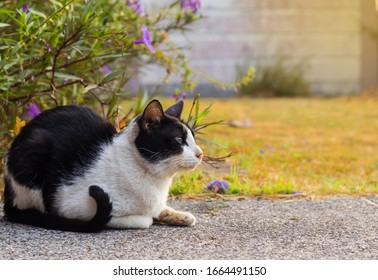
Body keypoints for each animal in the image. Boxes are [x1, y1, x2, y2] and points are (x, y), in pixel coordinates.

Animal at [2, 100, 204, 232]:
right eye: (179, 140)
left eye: (193, 138)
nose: (200, 153)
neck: (156, 180)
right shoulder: (71, 205)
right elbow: (143, 220)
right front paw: (150, 218)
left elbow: (160, 209)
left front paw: (179, 215)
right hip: (34, 151)